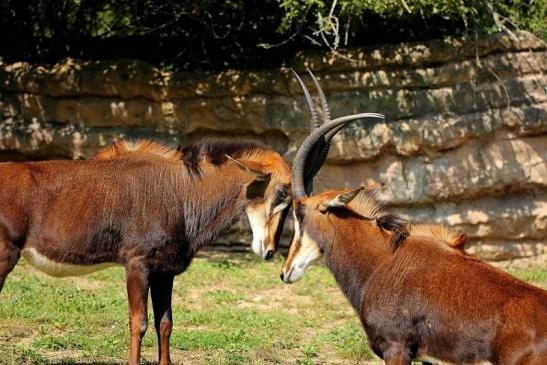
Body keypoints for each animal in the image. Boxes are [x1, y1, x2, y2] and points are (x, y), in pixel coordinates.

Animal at [0, 138, 300, 362]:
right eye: (281, 194)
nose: (270, 251)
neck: (181, 190)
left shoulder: (164, 271)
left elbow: (165, 323)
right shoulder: (137, 264)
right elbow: (139, 323)